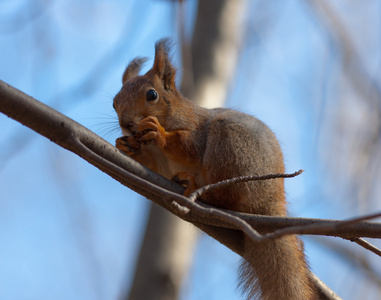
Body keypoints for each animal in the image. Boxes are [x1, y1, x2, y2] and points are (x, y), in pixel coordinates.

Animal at [114, 38, 316, 298]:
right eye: (115, 102)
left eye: (152, 95)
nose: (126, 124)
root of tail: (272, 201)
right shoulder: (160, 165)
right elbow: (154, 166)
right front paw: (126, 147)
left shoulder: (195, 131)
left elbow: (187, 147)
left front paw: (159, 133)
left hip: (230, 147)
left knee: (226, 197)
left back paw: (198, 188)